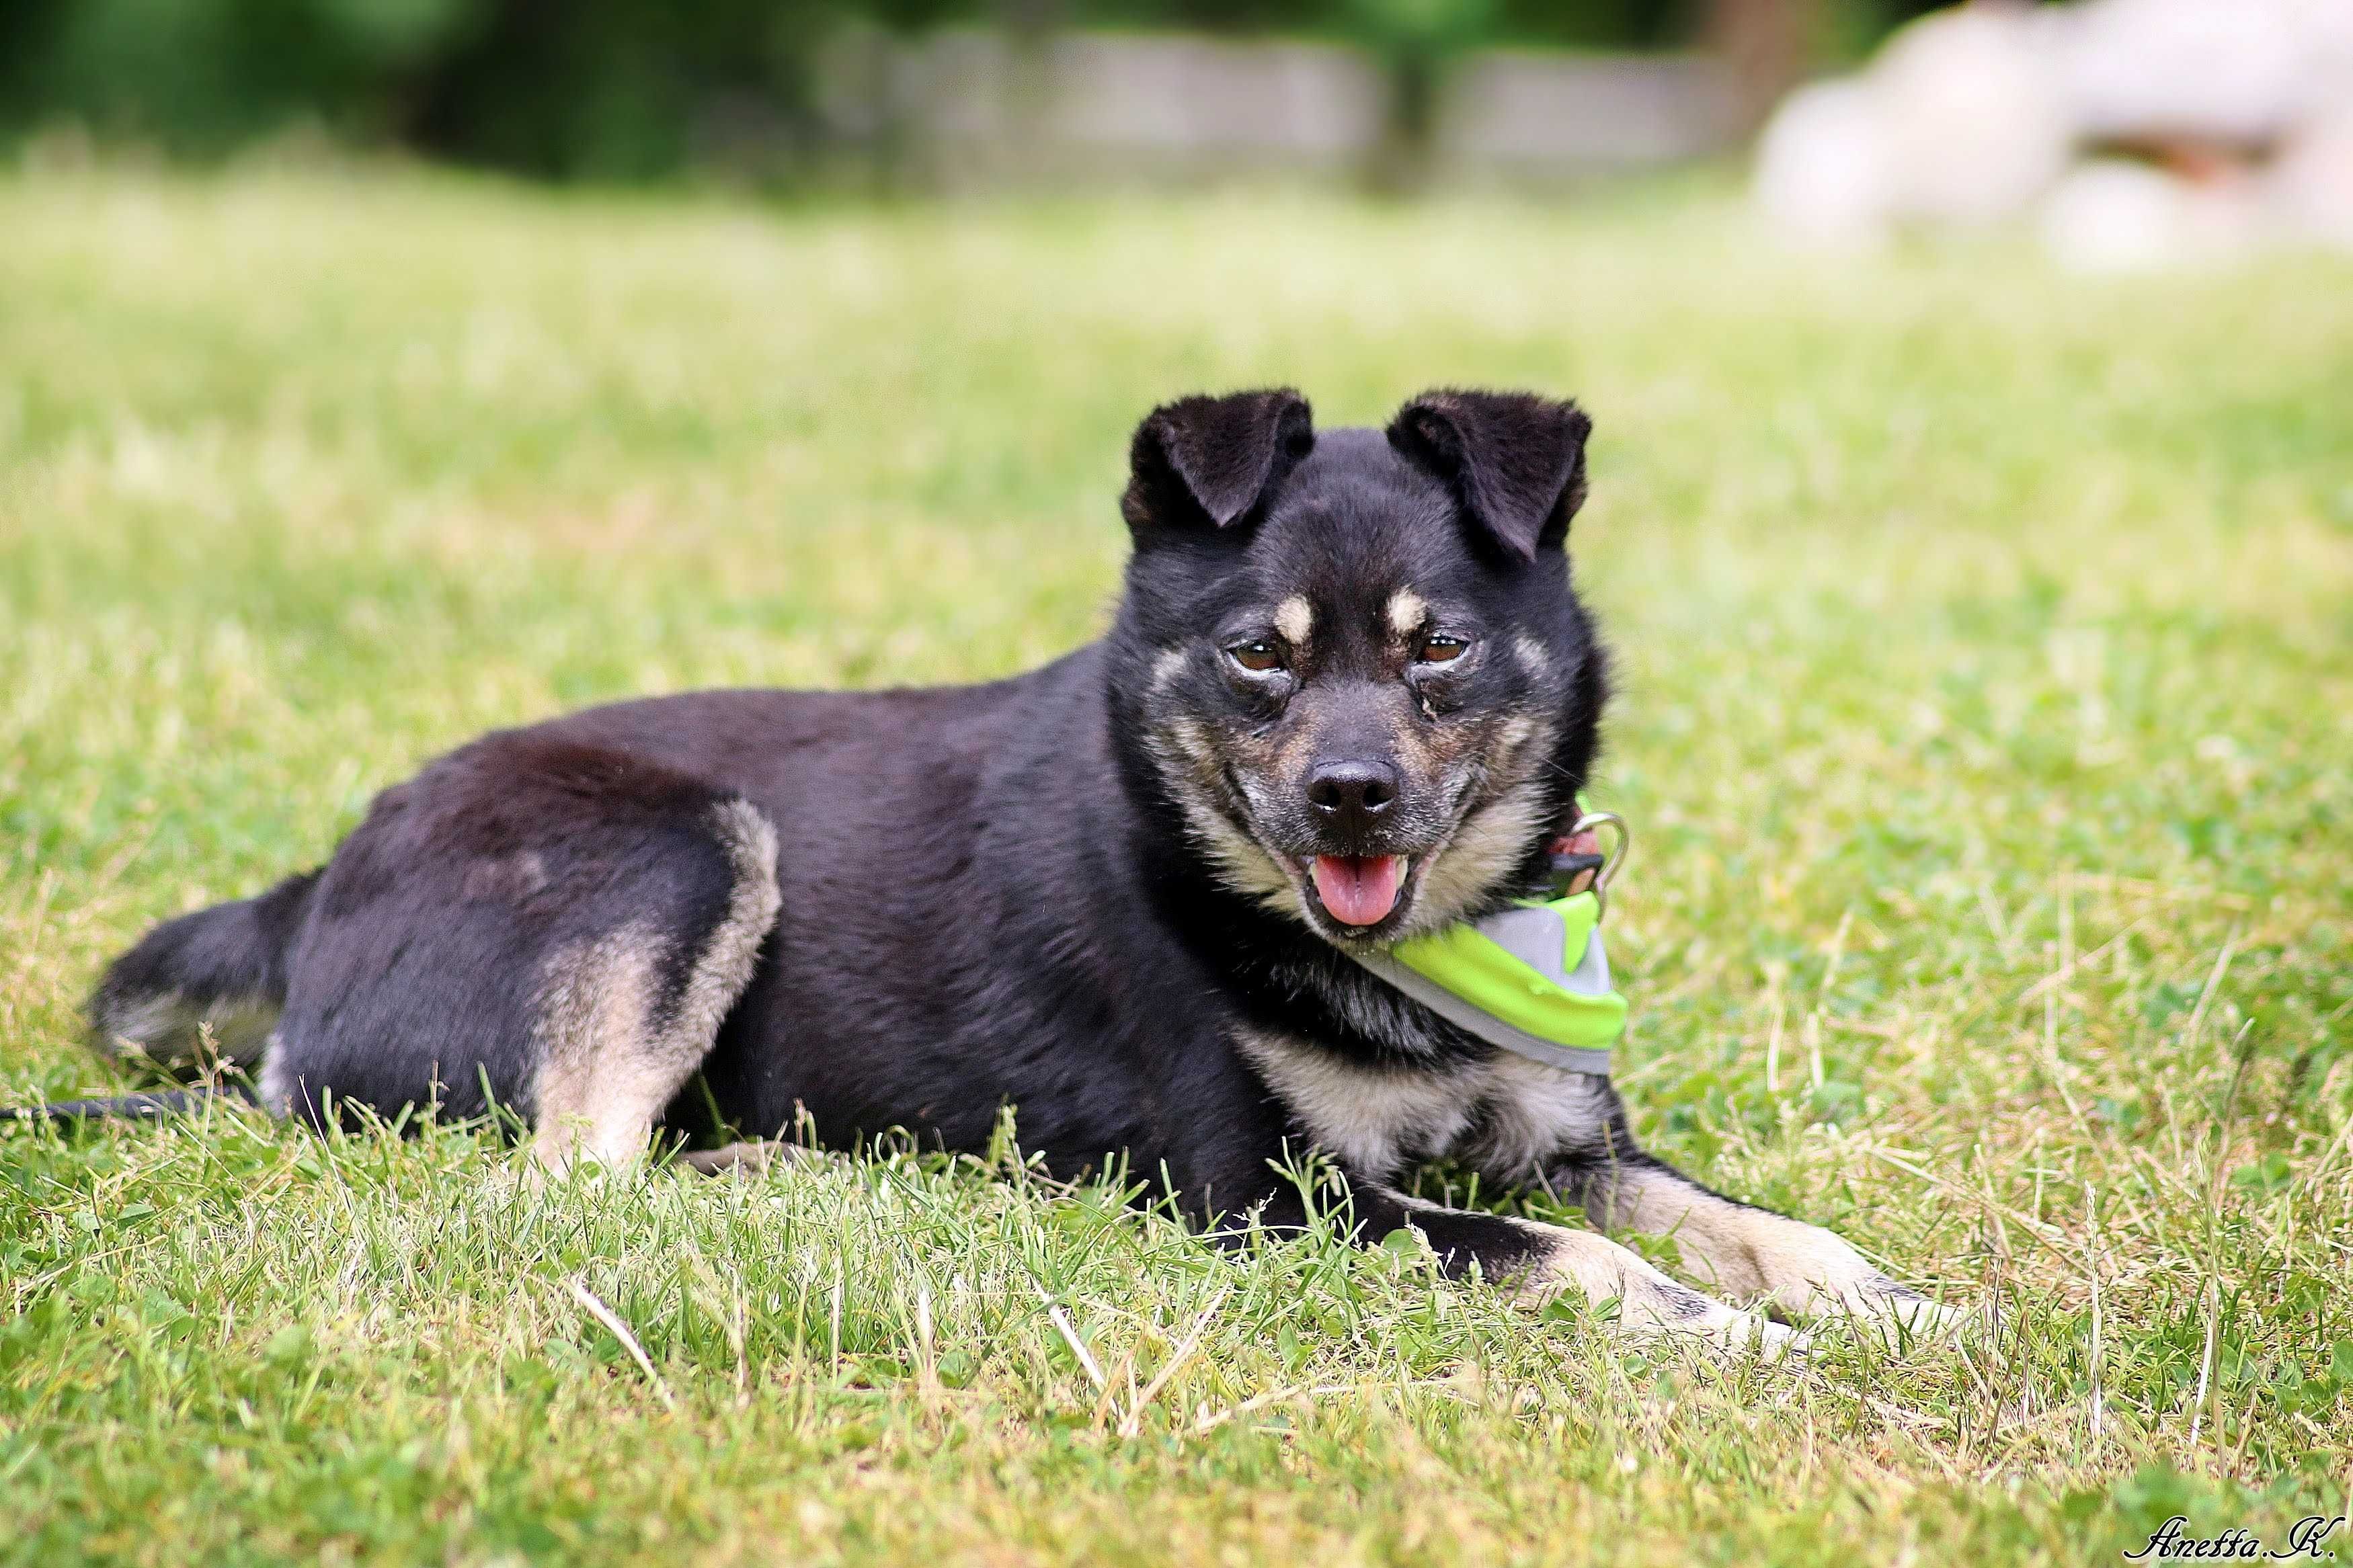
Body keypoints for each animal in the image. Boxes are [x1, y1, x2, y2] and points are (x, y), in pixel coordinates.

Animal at [64, 390, 1958, 1354]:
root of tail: (322, 879)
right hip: (682, 847)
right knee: (564, 1182)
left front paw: (1878, 1295)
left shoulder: (1572, 1140)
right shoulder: (1269, 1200)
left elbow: (1740, 1218)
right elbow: (1575, 1262)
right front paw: (1731, 1335)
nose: (1348, 800)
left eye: (1439, 651)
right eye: (1258, 657)